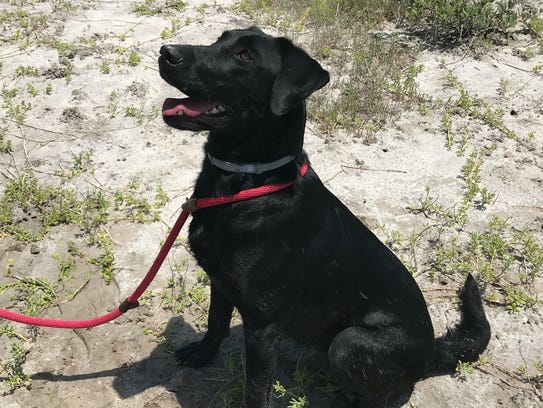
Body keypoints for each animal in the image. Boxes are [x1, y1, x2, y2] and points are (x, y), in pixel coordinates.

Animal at [158, 27, 492, 406]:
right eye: (218, 40)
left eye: (244, 56)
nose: (166, 52)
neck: (249, 183)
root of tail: (429, 351)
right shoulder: (220, 282)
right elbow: (215, 324)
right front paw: (201, 355)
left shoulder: (261, 327)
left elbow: (255, 388)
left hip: (348, 344)